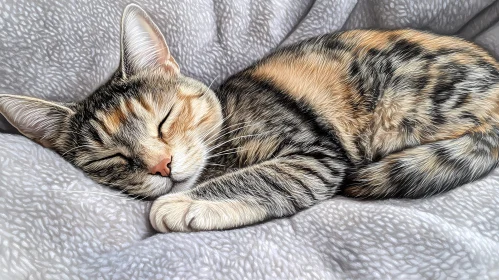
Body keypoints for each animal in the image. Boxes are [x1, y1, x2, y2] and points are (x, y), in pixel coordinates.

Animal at [0, 3, 499, 232]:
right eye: (113, 159)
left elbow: (266, 176)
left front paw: (184, 203)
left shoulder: (316, 152)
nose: (162, 166)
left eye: (165, 119)